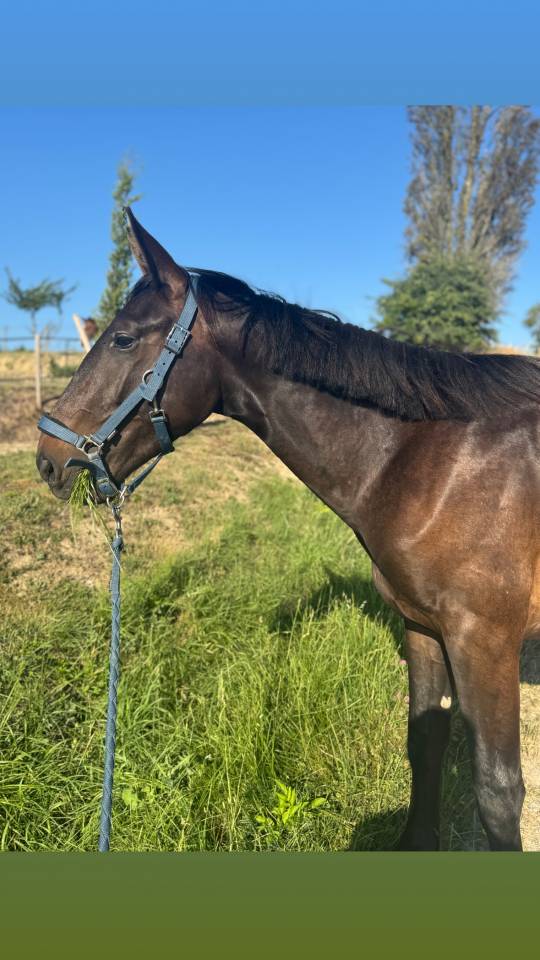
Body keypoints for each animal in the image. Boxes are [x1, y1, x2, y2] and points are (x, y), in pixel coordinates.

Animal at [36, 208, 540, 851]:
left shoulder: (486, 642)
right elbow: (424, 743)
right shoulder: (423, 627)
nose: (48, 459)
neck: (429, 462)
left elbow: (499, 793)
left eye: (124, 338)